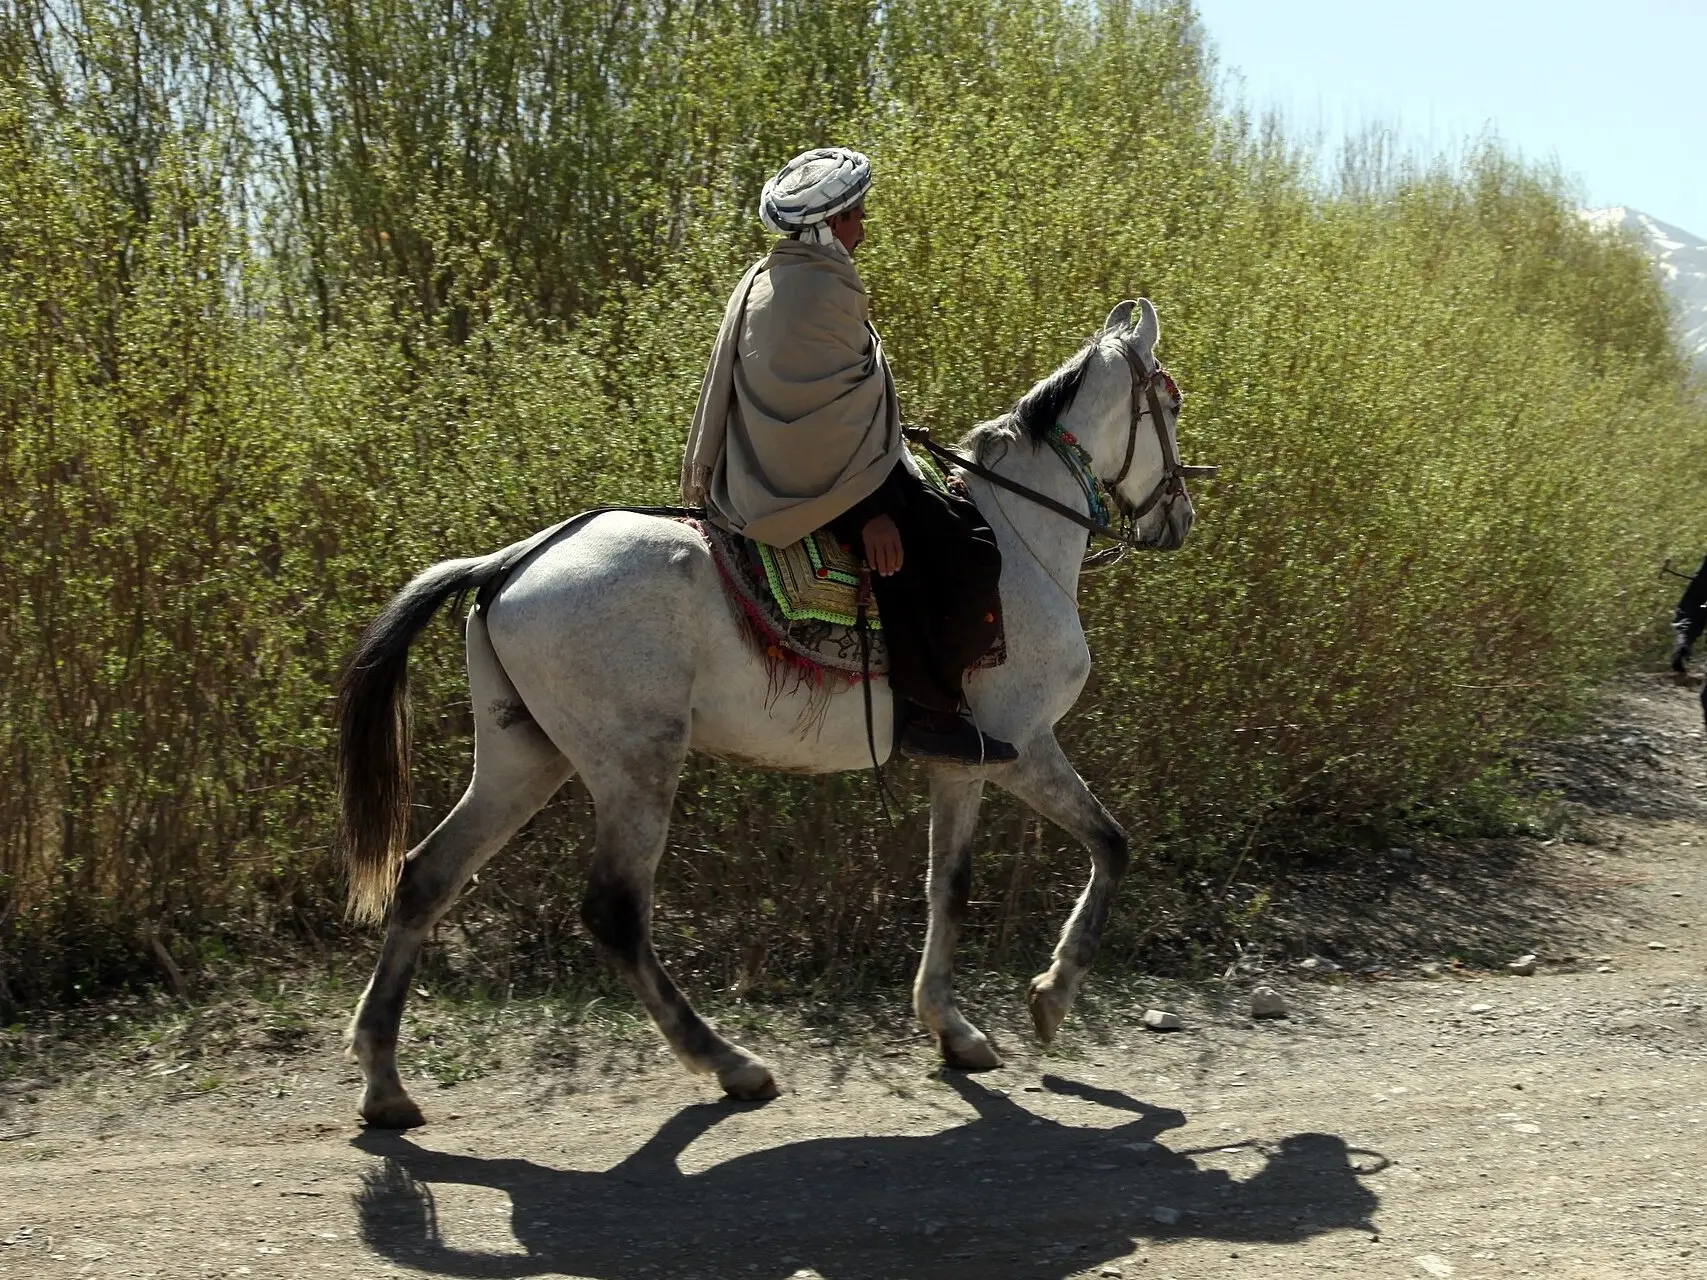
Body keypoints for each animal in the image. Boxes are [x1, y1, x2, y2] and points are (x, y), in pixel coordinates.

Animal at [339, 295, 1208, 1126]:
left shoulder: (960, 762)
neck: (1017, 539)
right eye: (1169, 399)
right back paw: (730, 1063)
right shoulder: (1023, 745)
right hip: (634, 765)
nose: (1179, 519)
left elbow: (947, 886)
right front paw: (1051, 995)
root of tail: (512, 560)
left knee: (426, 877)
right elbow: (1110, 844)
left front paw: (951, 1029)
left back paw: (384, 1084)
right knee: (615, 912)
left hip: (522, 759)